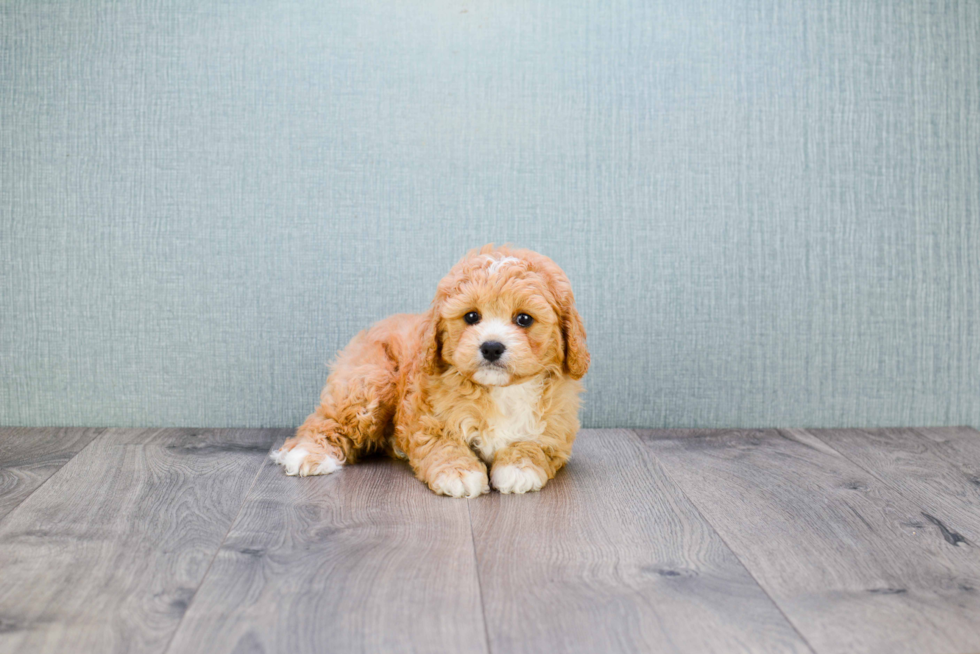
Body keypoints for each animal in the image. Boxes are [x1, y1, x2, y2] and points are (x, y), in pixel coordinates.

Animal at [270, 246, 588, 498]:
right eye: (471, 316)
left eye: (524, 319)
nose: (491, 347)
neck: (501, 391)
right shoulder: (427, 417)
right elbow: (444, 444)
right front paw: (458, 472)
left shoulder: (556, 426)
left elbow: (534, 444)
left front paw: (519, 467)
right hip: (370, 381)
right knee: (327, 419)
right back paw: (307, 452)